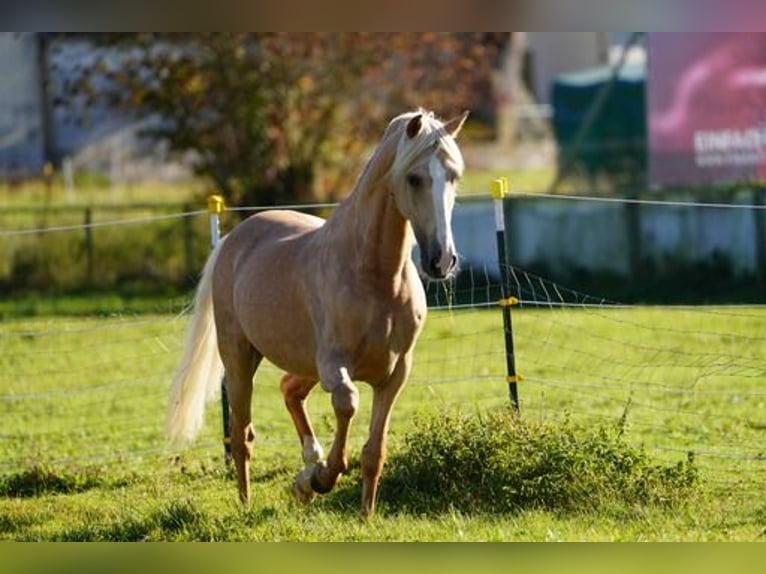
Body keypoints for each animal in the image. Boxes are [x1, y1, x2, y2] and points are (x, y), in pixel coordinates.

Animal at [168, 109, 468, 516]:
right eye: (415, 177)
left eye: (453, 175)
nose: (442, 260)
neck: (375, 275)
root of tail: (234, 238)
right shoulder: (335, 366)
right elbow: (347, 404)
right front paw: (323, 478)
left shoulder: (394, 373)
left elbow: (374, 451)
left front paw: (364, 513)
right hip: (241, 357)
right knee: (241, 433)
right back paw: (250, 502)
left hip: (304, 363)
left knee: (289, 391)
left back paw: (305, 473)